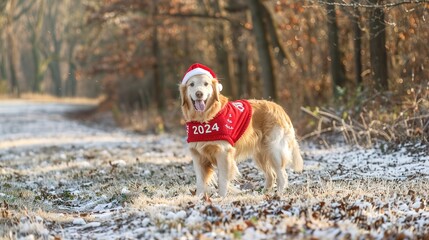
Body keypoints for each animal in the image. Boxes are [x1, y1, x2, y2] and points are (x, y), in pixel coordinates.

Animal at [179, 63, 302, 197]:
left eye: (206, 84)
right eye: (191, 84)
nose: (199, 94)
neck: (205, 118)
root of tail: (279, 108)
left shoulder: (223, 152)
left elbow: (222, 180)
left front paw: (221, 197)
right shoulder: (197, 155)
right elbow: (200, 182)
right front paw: (199, 198)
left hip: (274, 150)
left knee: (282, 175)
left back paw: (278, 194)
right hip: (261, 154)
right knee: (272, 175)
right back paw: (263, 193)